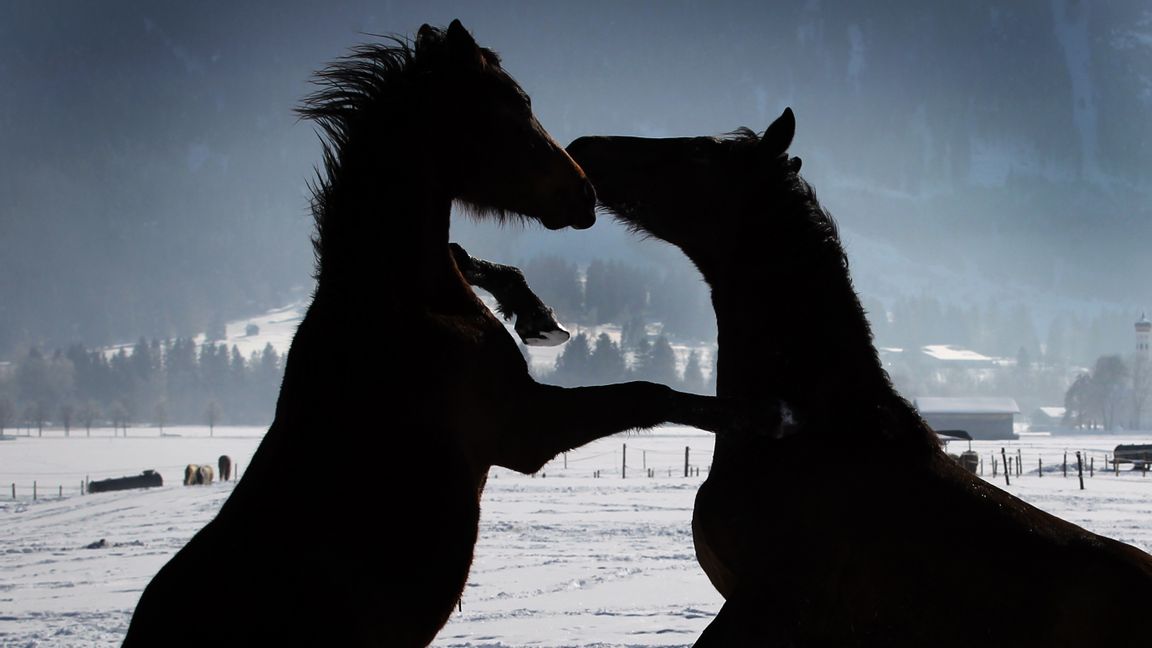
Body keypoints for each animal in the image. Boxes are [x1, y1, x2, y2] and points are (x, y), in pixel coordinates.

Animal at [126, 21, 755, 645]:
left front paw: (536, 317)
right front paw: (742, 415)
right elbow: (649, 394)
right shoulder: (523, 429)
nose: (584, 193)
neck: (402, 306)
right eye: (513, 105)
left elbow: (466, 256)